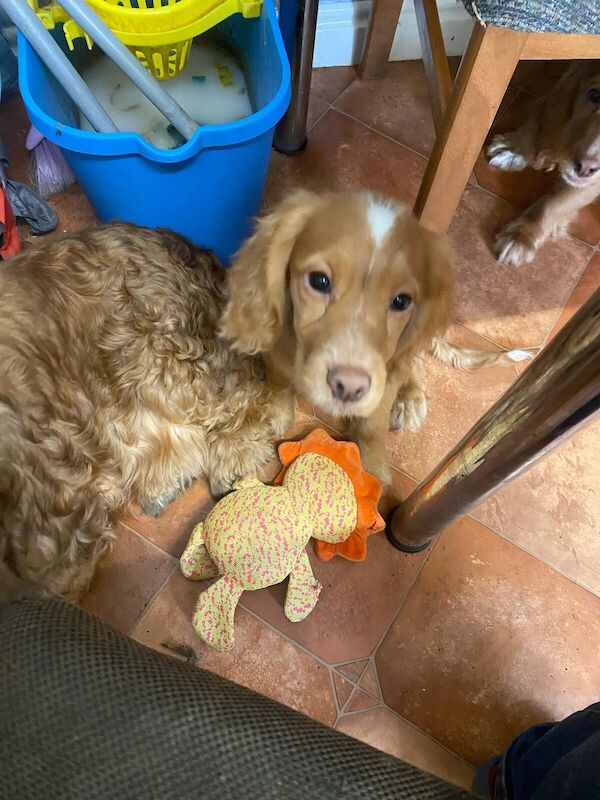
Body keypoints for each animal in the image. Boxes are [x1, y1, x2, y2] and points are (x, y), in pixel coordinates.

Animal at [488, 61, 600, 268]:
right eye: (594, 95)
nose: (585, 167)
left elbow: (554, 203)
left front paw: (520, 236)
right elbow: (546, 111)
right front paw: (515, 149)